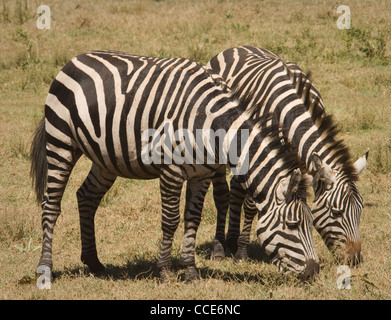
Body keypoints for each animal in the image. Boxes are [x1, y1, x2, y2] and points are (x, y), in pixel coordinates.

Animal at [29, 50, 320, 284]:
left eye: (311, 223)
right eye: (294, 225)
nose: (314, 271)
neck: (212, 126)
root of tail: (74, 59)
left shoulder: (201, 175)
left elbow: (193, 219)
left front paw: (190, 270)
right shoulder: (170, 170)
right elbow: (170, 220)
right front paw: (166, 271)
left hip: (106, 159)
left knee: (87, 197)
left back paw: (94, 263)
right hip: (60, 142)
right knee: (51, 205)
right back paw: (46, 268)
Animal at [207, 45, 370, 264]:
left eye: (360, 209)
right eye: (337, 212)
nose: (355, 260)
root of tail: (237, 46)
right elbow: (251, 204)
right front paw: (242, 253)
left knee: (236, 188)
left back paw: (232, 239)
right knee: (224, 195)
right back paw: (222, 247)